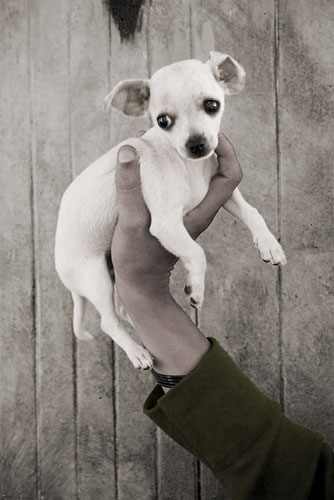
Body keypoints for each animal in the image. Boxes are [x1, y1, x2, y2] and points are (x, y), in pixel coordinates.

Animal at [54, 52, 284, 370]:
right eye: (163, 121)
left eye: (212, 105)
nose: (196, 144)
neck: (189, 166)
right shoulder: (165, 225)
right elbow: (197, 253)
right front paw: (196, 288)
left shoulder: (224, 191)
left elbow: (253, 212)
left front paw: (270, 244)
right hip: (94, 275)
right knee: (108, 322)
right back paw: (136, 352)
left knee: (121, 310)